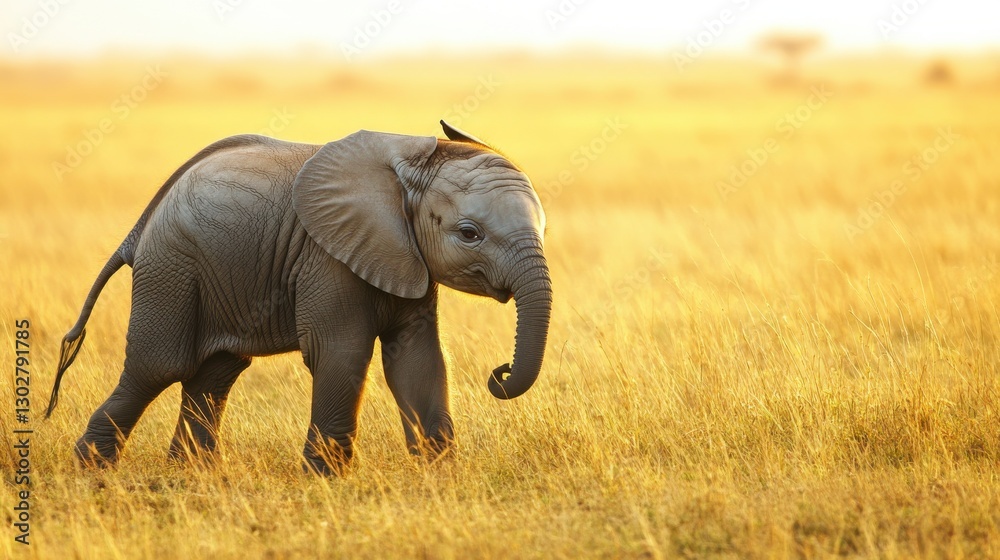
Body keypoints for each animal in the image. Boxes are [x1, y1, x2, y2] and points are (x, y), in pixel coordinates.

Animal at [45, 121, 551, 475]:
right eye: (469, 233)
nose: (500, 372)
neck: (410, 168)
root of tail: (142, 225)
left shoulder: (408, 259)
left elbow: (417, 358)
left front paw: (438, 473)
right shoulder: (328, 258)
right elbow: (342, 353)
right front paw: (326, 479)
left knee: (216, 373)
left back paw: (192, 473)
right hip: (172, 266)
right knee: (159, 367)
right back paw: (91, 469)